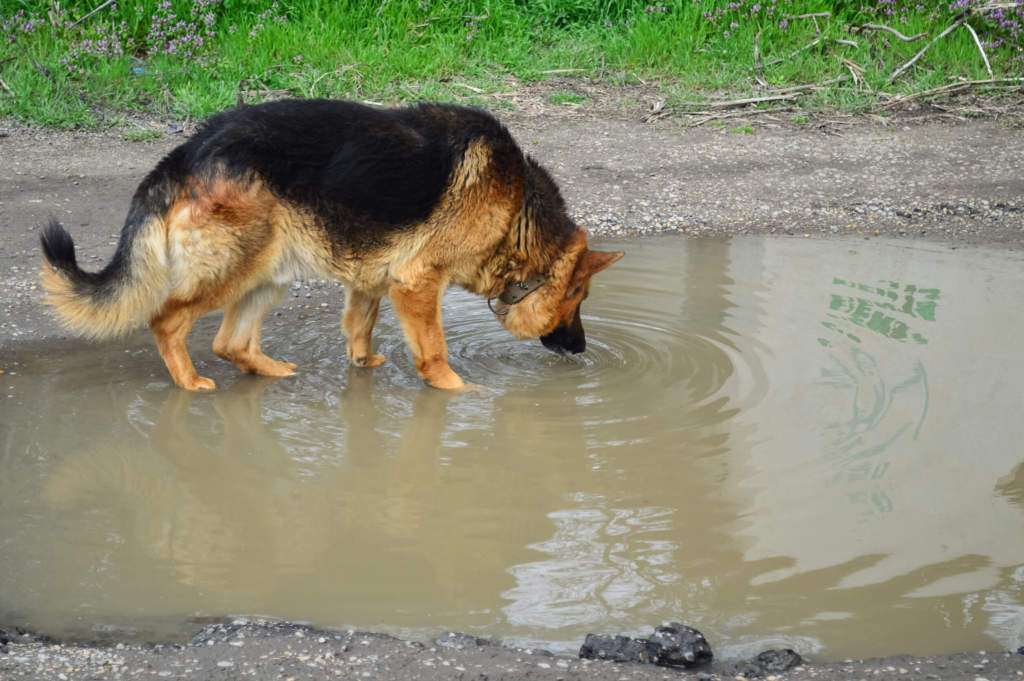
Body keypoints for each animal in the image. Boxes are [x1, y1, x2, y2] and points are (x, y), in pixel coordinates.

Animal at [41, 98, 622, 391]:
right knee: (167, 321)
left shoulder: (372, 279)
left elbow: (360, 328)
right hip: (234, 268)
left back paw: (268, 370)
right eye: (580, 299)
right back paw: (189, 383)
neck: (517, 211)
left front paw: (364, 368)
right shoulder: (416, 284)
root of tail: (188, 151)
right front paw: (457, 391)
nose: (583, 350)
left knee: (230, 343)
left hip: (269, 274)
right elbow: (434, 351)